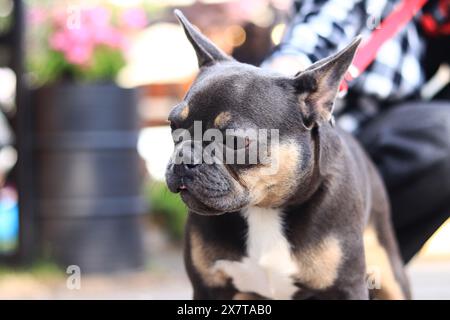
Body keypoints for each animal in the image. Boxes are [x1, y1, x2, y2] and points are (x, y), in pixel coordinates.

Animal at [166, 10, 412, 300]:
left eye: (236, 141)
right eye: (173, 126)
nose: (184, 157)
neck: (265, 208)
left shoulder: (346, 287)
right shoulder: (210, 288)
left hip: (389, 268)